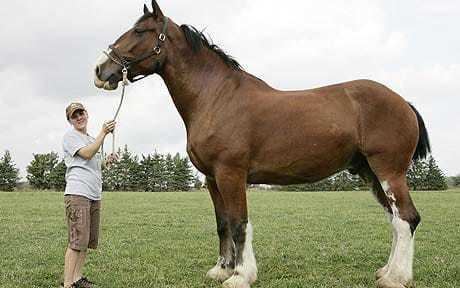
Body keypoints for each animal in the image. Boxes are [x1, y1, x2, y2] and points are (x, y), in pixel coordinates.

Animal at [94, 1, 432, 286]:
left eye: (140, 31)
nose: (100, 69)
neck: (216, 97)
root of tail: (403, 102)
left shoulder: (231, 174)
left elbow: (239, 223)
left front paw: (241, 275)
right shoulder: (212, 178)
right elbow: (223, 223)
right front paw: (222, 269)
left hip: (389, 171)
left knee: (407, 219)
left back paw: (396, 278)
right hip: (370, 173)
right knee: (395, 220)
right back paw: (386, 271)